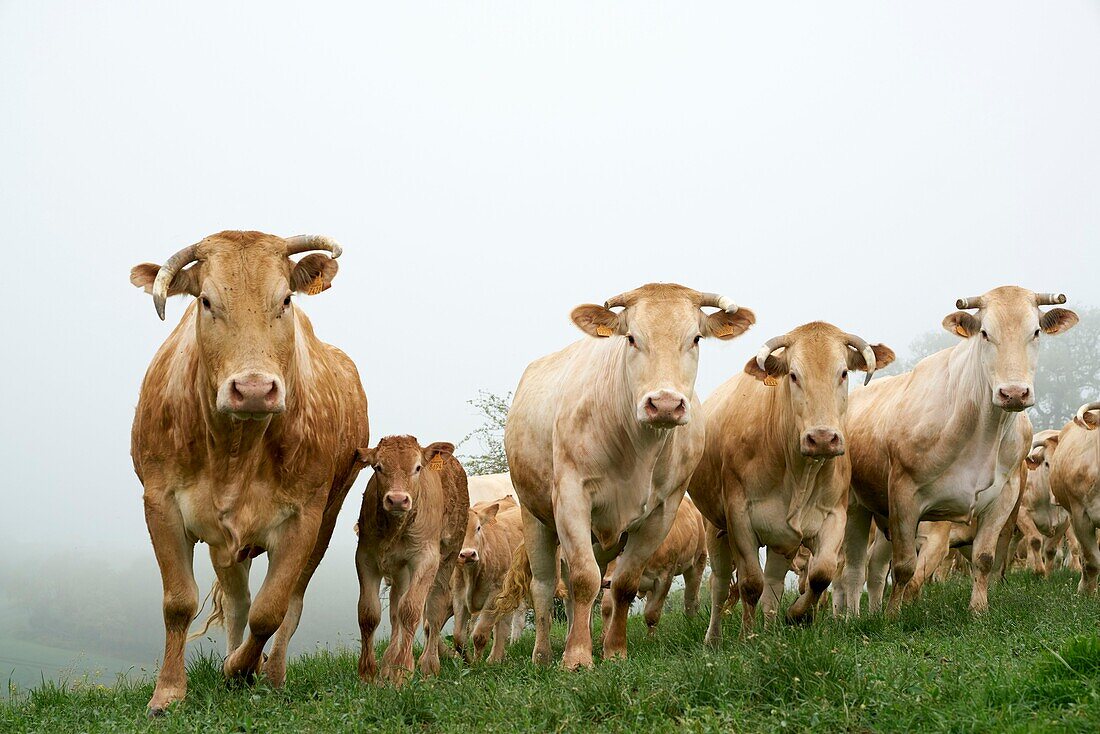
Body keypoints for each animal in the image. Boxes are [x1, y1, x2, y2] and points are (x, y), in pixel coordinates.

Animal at [127, 231, 369, 717]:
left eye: (286, 299)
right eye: (205, 301)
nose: (254, 389)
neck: (233, 452)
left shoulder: (303, 518)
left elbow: (271, 610)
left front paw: (241, 669)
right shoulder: (161, 503)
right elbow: (178, 602)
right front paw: (168, 693)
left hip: (327, 519)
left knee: (289, 604)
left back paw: (269, 674)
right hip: (225, 544)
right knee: (238, 603)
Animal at [503, 283, 752, 669]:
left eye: (696, 338)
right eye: (632, 338)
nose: (664, 404)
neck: (638, 449)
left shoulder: (662, 512)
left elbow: (622, 585)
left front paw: (613, 650)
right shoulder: (572, 498)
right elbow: (584, 578)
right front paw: (578, 657)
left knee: (578, 588)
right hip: (535, 517)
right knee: (545, 586)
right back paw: (544, 654)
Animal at [690, 319, 897, 638]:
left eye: (843, 372)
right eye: (793, 375)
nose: (822, 438)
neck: (799, 474)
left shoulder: (833, 515)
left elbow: (821, 574)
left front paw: (797, 615)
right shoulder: (739, 519)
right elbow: (750, 583)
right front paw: (748, 635)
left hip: (782, 542)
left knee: (773, 585)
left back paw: (771, 627)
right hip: (716, 528)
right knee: (721, 585)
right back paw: (714, 638)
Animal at [836, 286, 1078, 616]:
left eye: (1036, 331)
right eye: (985, 333)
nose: (1014, 393)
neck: (982, 431)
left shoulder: (1004, 498)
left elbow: (984, 559)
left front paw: (978, 609)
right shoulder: (904, 496)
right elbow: (904, 567)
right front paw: (893, 616)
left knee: (873, 568)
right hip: (856, 506)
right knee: (854, 569)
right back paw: (852, 617)